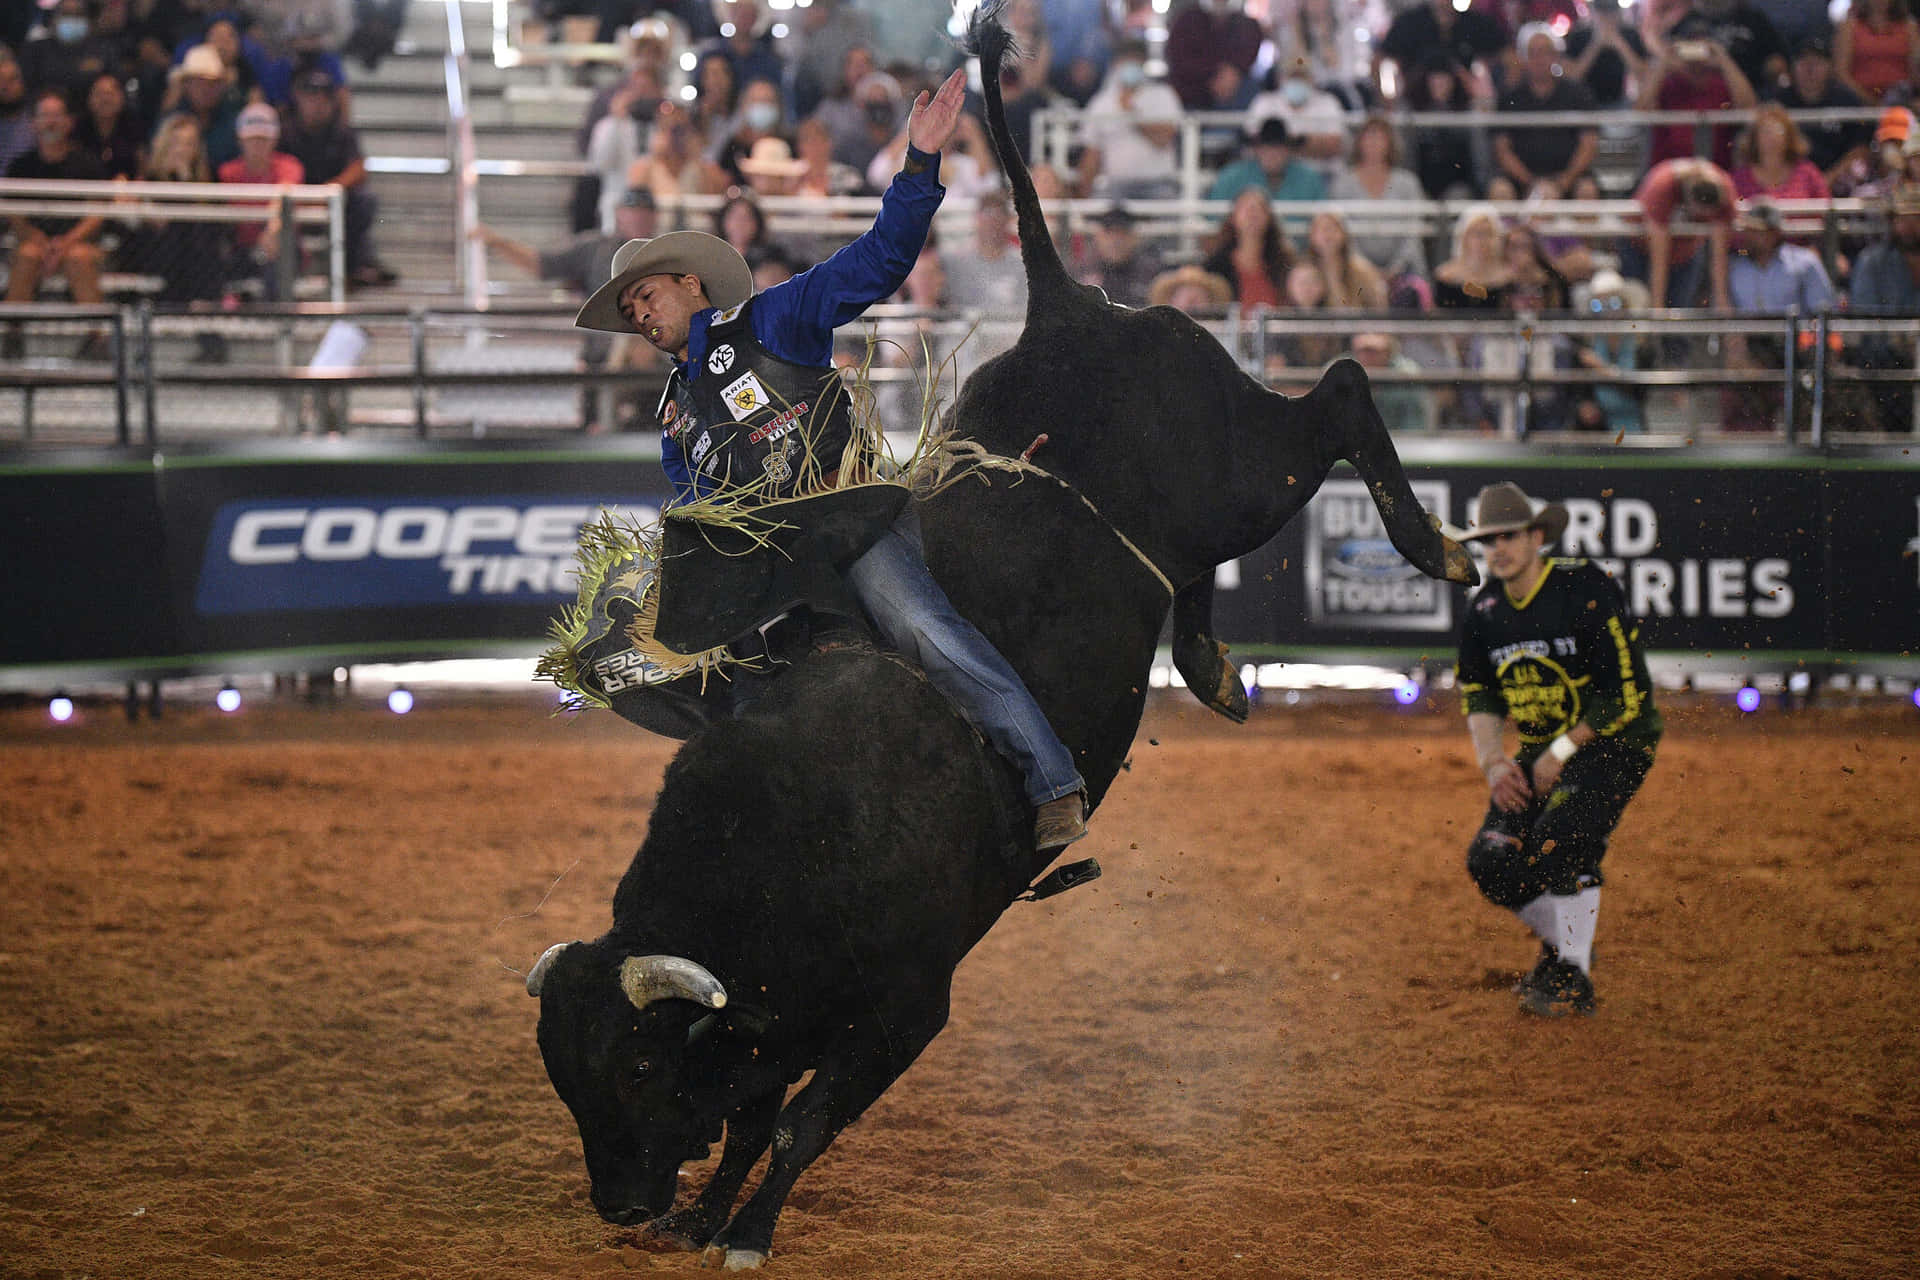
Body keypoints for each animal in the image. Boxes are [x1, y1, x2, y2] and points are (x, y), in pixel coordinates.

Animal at [518, 7, 1474, 1274]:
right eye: (563, 1071)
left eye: (632, 1062)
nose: (619, 1204)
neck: (792, 835)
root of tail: (1069, 306)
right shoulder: (784, 1020)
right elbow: (755, 1112)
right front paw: (707, 1208)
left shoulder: (908, 1006)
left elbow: (799, 1123)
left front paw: (747, 1228)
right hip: (1199, 521)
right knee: (1205, 565)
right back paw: (1217, 669)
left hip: (1244, 477)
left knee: (1345, 390)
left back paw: (1437, 549)